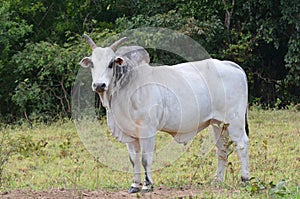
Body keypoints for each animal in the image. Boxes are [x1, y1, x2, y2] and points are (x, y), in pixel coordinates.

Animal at [79, 34, 251, 193]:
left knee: (242, 144)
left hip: (235, 120)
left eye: (110, 64)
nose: (99, 85)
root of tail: (231, 65)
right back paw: (218, 180)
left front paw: (147, 185)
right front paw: (134, 185)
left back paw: (245, 179)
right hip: (217, 123)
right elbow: (134, 159)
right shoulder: (129, 132)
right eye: (92, 64)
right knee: (221, 148)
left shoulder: (148, 130)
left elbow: (145, 159)